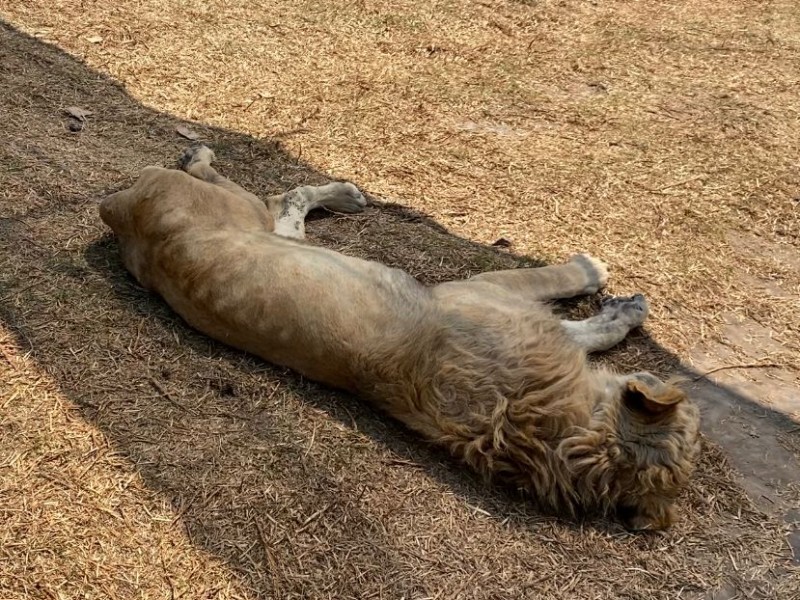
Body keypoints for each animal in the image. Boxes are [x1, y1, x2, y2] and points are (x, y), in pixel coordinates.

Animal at [98, 145, 700, 528]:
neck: (545, 429)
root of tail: (118, 211)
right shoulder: (485, 289)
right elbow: (568, 301)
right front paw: (602, 284)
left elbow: (579, 334)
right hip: (236, 209)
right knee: (258, 188)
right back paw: (208, 155)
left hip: (259, 228)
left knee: (286, 205)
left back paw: (340, 196)